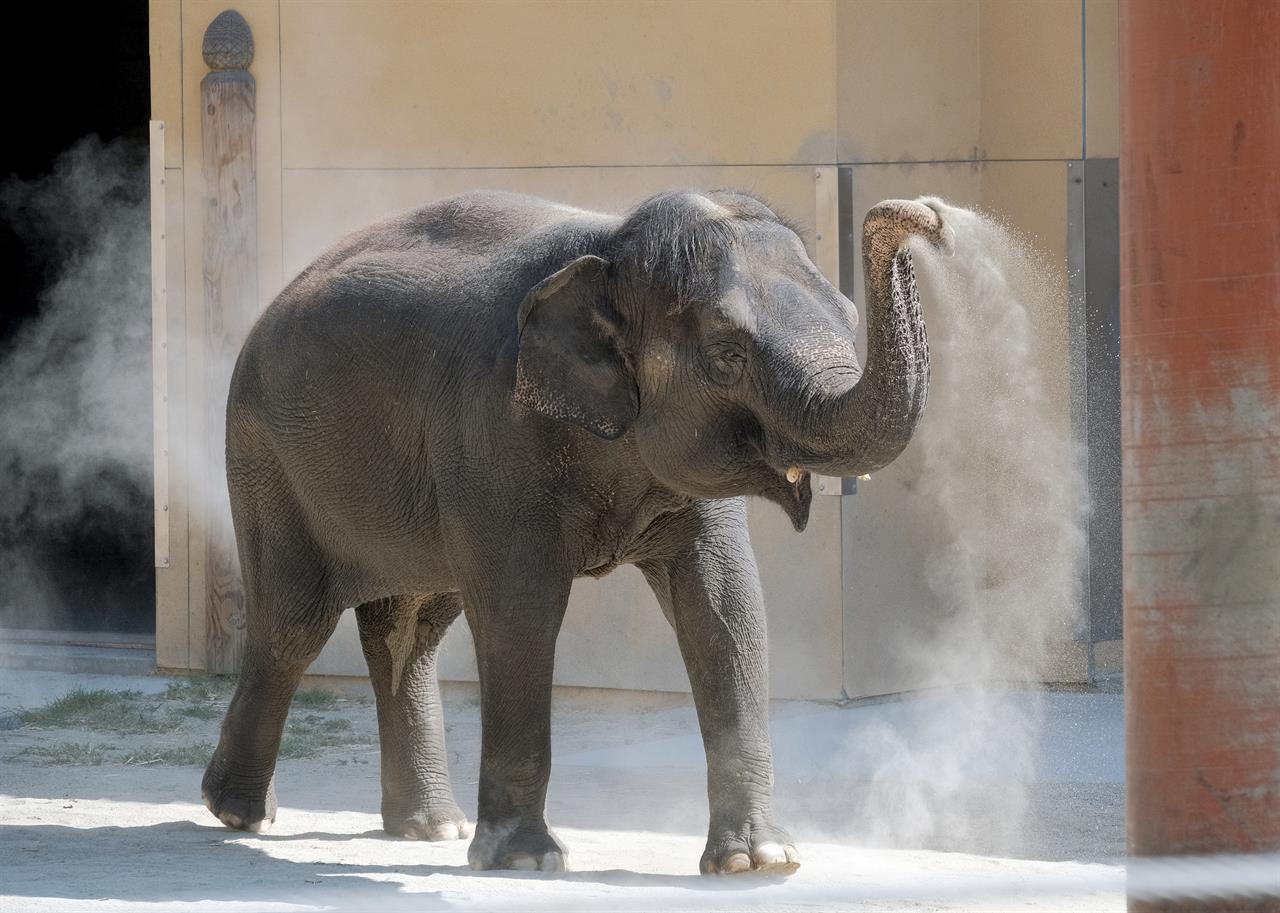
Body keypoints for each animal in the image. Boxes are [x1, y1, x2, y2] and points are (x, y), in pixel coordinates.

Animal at [202, 186, 952, 875]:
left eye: (850, 317)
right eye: (727, 353)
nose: (923, 212)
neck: (612, 250)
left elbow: (724, 605)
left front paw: (759, 862)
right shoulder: (494, 429)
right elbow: (522, 609)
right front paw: (526, 860)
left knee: (412, 628)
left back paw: (429, 827)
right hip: (266, 455)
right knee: (294, 625)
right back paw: (238, 811)